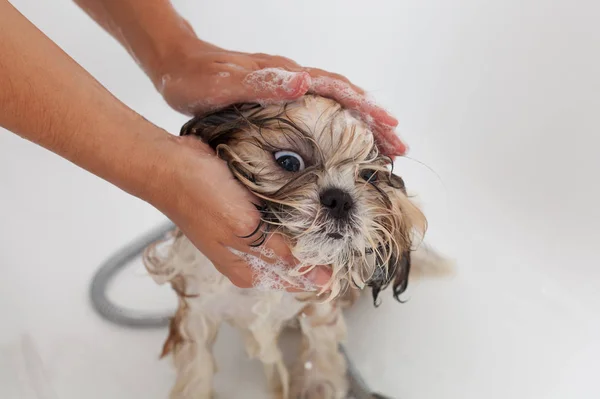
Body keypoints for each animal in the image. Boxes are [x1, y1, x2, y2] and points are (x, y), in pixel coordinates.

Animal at [143, 96, 448, 399]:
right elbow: (196, 366)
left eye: (370, 176)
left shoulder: (319, 307)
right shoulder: (198, 305)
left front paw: (317, 387)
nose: (340, 199)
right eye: (289, 162)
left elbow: (320, 352)